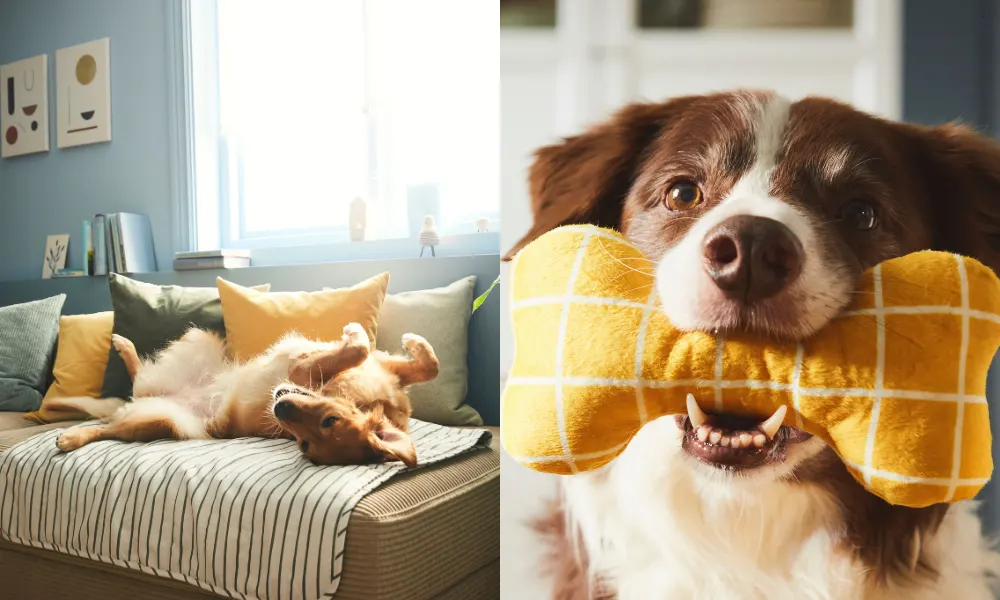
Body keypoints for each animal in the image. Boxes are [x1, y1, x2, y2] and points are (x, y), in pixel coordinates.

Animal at [47, 322, 438, 466]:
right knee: (138, 377)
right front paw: (414, 342)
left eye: (305, 445)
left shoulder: (299, 371)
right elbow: (428, 366)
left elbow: (358, 348)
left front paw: (355, 333)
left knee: (108, 427)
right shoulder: (384, 368)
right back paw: (123, 345)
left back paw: (71, 437)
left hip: (160, 420)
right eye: (329, 420)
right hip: (197, 346)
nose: (280, 408)